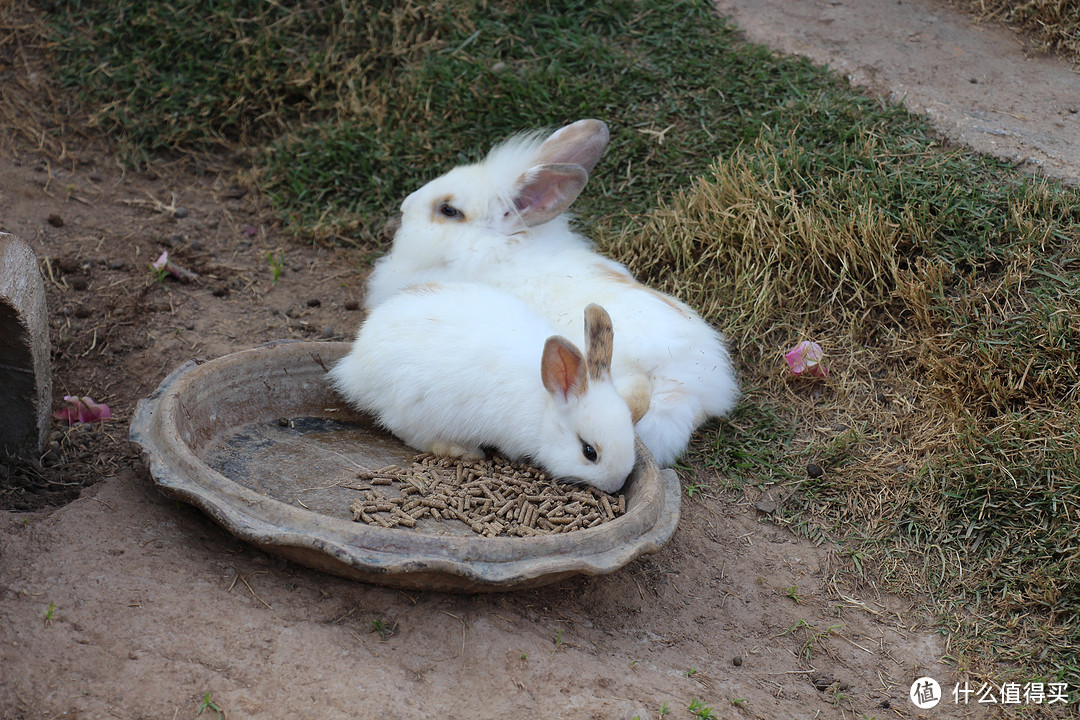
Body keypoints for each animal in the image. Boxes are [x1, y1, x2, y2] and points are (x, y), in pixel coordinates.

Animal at [326, 280, 630, 496]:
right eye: (589, 452)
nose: (616, 485)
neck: (545, 407)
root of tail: (357, 362)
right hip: (415, 409)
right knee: (412, 437)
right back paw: (463, 451)